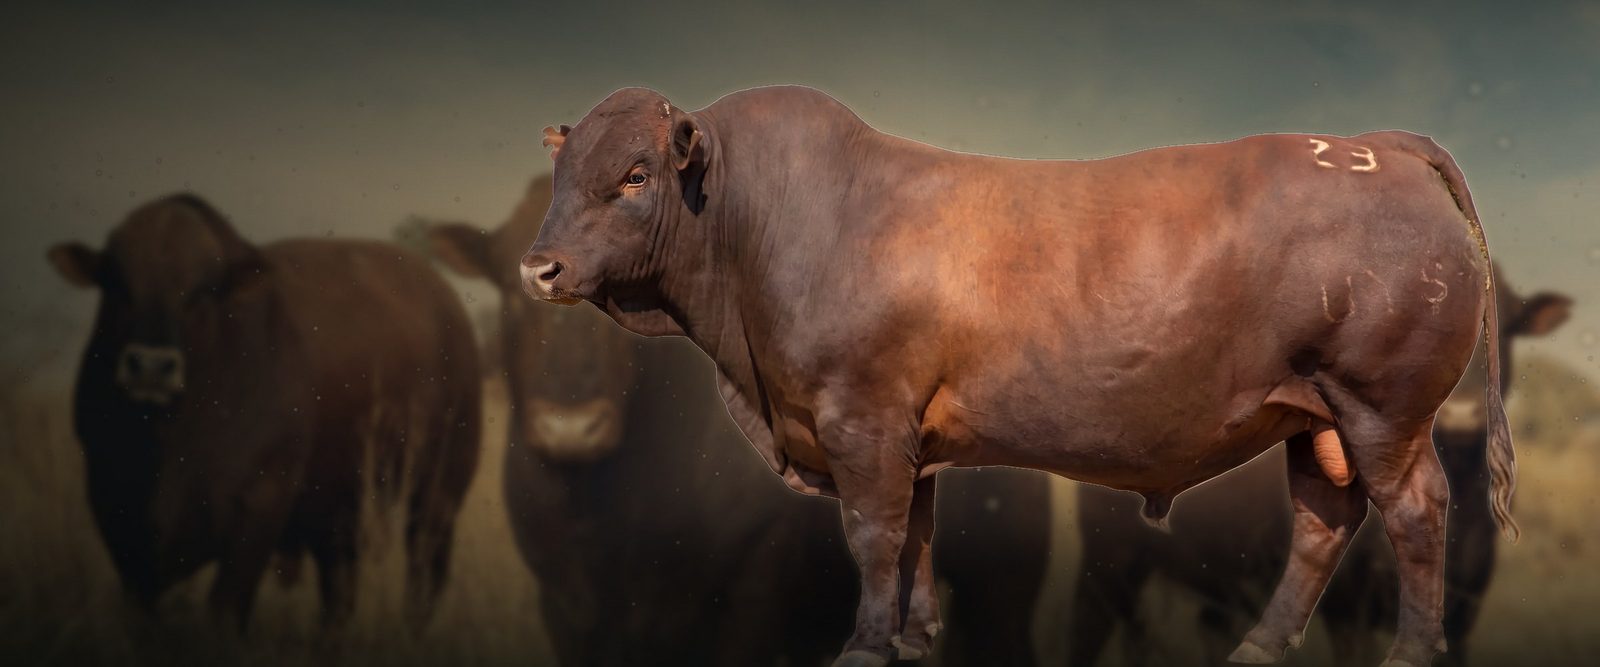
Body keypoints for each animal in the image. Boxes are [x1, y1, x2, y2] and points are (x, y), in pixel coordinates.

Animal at [47, 194, 481, 632]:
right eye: (117, 283)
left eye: (201, 291)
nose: (151, 367)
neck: (170, 439)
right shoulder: (114, 510)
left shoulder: (259, 509)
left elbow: (226, 610)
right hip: (339, 513)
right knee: (340, 592)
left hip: (437, 496)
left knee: (423, 577)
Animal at [426, 173, 1049, 666]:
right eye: (515, 295)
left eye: (615, 293)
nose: (570, 429)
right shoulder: (566, 608)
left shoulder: (749, 595)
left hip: (1005, 590)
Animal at [517, 85, 1512, 667]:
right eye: (564, 174)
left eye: (635, 175)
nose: (539, 268)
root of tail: (1376, 141)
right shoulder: (907, 434)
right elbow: (916, 535)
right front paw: (916, 637)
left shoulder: (861, 418)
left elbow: (873, 535)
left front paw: (863, 645)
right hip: (1316, 417)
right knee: (1320, 522)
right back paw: (1258, 647)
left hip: (1383, 408)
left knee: (1415, 510)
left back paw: (1412, 651)